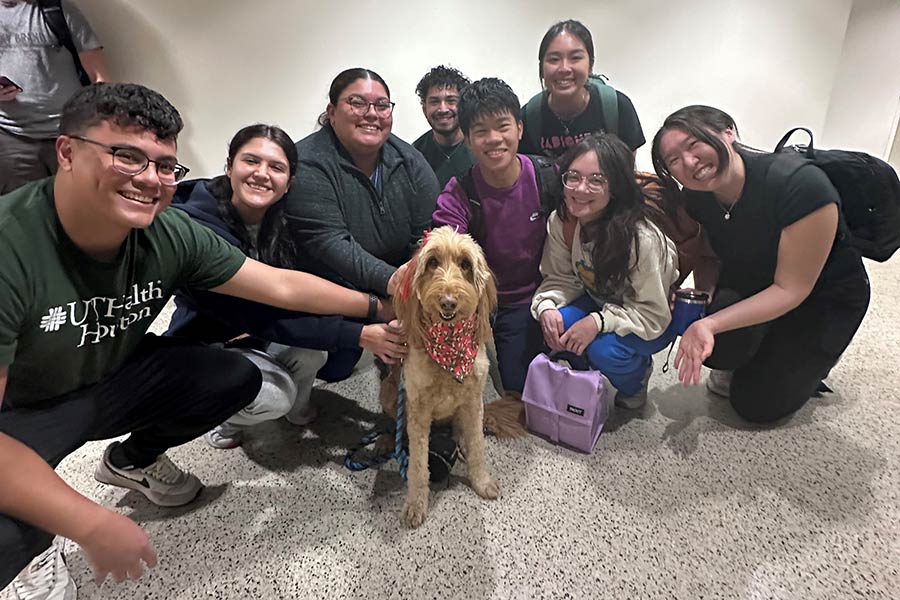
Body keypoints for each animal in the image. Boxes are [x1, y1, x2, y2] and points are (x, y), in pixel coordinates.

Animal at [392, 227, 506, 528]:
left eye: (466, 264)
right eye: (432, 262)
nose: (448, 302)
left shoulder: (473, 401)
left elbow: (477, 445)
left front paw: (481, 481)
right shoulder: (418, 411)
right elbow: (418, 466)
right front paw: (415, 504)